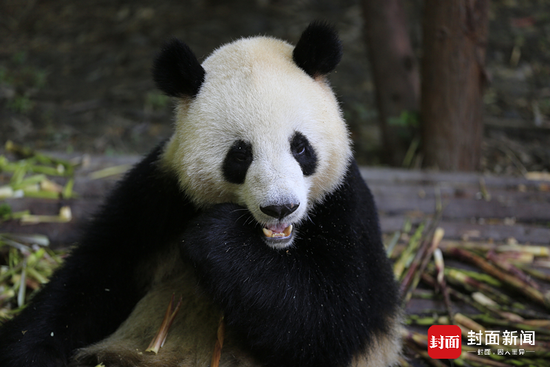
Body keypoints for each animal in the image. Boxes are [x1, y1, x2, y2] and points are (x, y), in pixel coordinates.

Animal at [0, 22, 404, 367]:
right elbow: (93, 276)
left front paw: (215, 236)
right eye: (240, 154)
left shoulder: (345, 206)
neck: (272, 251)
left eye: (300, 147)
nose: (280, 208)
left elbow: (332, 315)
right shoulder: (161, 193)